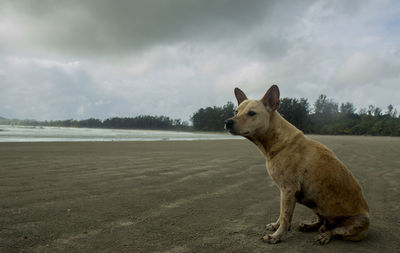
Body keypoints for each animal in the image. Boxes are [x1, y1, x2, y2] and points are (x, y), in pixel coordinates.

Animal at [225, 85, 368, 245]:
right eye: (236, 111)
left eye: (251, 113)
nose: (228, 122)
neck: (274, 140)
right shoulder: (285, 192)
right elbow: (282, 214)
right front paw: (276, 226)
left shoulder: (288, 189)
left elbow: (285, 216)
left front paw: (276, 236)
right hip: (315, 204)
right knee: (322, 220)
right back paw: (310, 226)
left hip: (358, 222)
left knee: (336, 231)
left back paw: (325, 235)